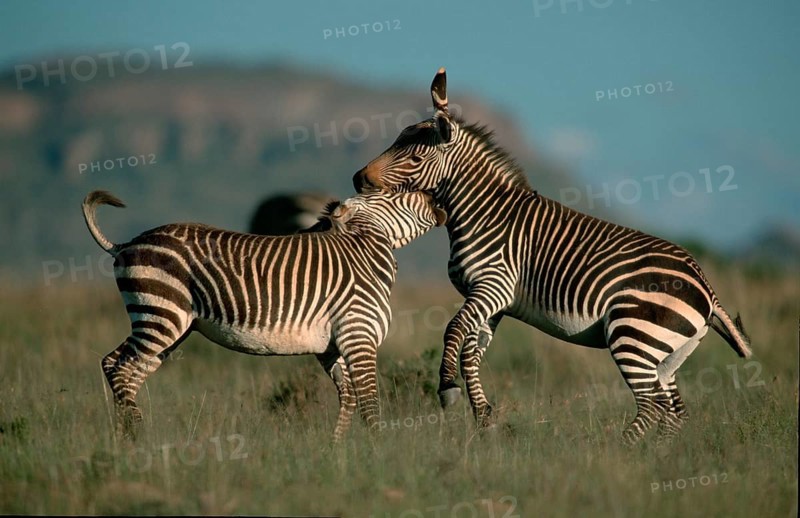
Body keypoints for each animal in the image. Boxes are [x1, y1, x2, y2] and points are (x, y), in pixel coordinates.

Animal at [82, 189, 446, 442]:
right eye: (397, 194)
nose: (436, 199)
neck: (367, 251)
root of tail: (126, 243)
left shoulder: (333, 346)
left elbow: (349, 397)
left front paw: (338, 451)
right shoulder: (359, 335)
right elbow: (370, 401)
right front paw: (377, 450)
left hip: (167, 325)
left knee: (124, 369)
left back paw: (130, 440)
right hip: (160, 314)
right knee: (119, 366)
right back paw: (137, 440)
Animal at [352, 68, 752, 445]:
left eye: (416, 156)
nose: (357, 178)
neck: (485, 213)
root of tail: (705, 284)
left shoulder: (493, 286)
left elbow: (452, 331)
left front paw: (448, 390)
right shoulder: (492, 301)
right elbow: (471, 354)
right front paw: (484, 418)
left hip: (634, 333)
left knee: (652, 405)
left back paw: (616, 452)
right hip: (666, 353)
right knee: (673, 411)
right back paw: (654, 455)